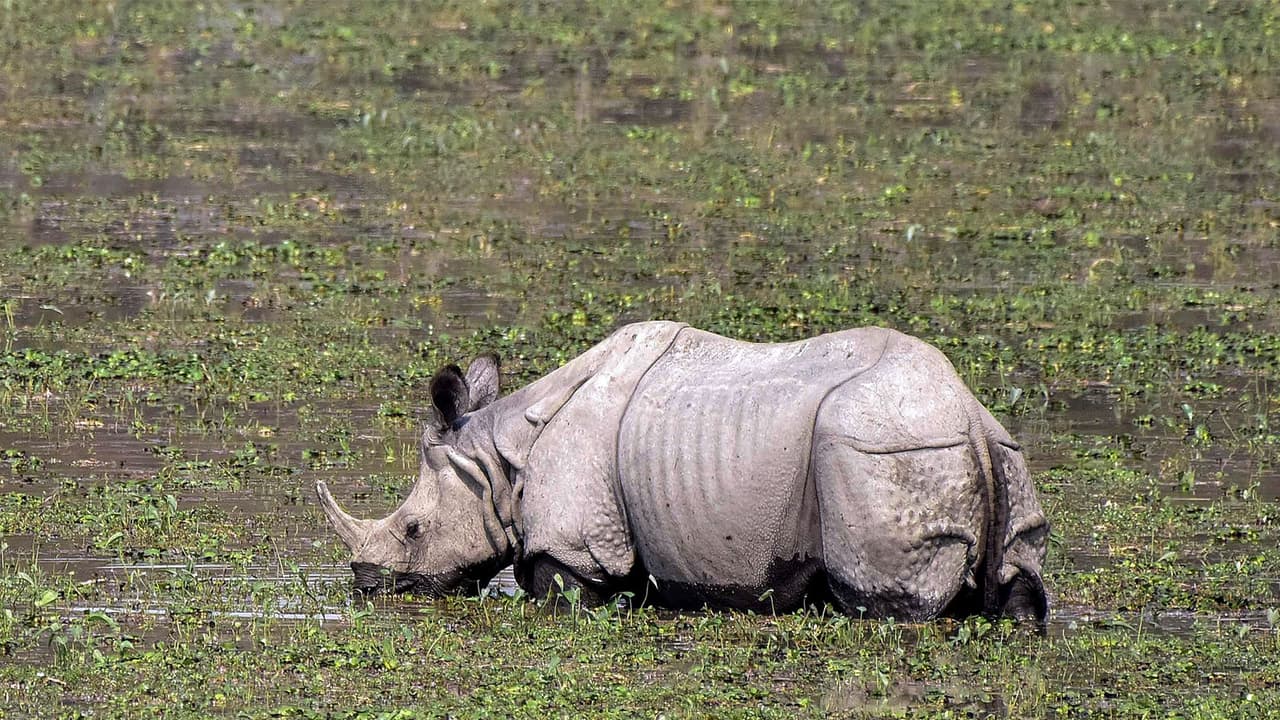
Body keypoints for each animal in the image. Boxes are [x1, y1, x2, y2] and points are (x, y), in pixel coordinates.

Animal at [317, 321, 1049, 621]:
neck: (498, 459)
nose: (364, 584)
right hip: (990, 452)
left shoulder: (576, 545)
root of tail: (967, 413)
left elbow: (557, 591)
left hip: (878, 450)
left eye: (413, 530)